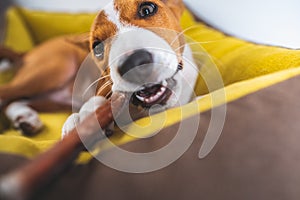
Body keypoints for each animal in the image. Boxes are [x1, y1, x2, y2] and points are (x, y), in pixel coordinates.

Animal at [0, 0, 199, 136]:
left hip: (53, 98)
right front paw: (84, 117)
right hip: (55, 69)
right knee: (6, 95)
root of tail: (25, 54)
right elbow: (98, 100)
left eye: (147, 9)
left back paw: (25, 117)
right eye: (97, 47)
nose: (134, 63)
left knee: (15, 101)